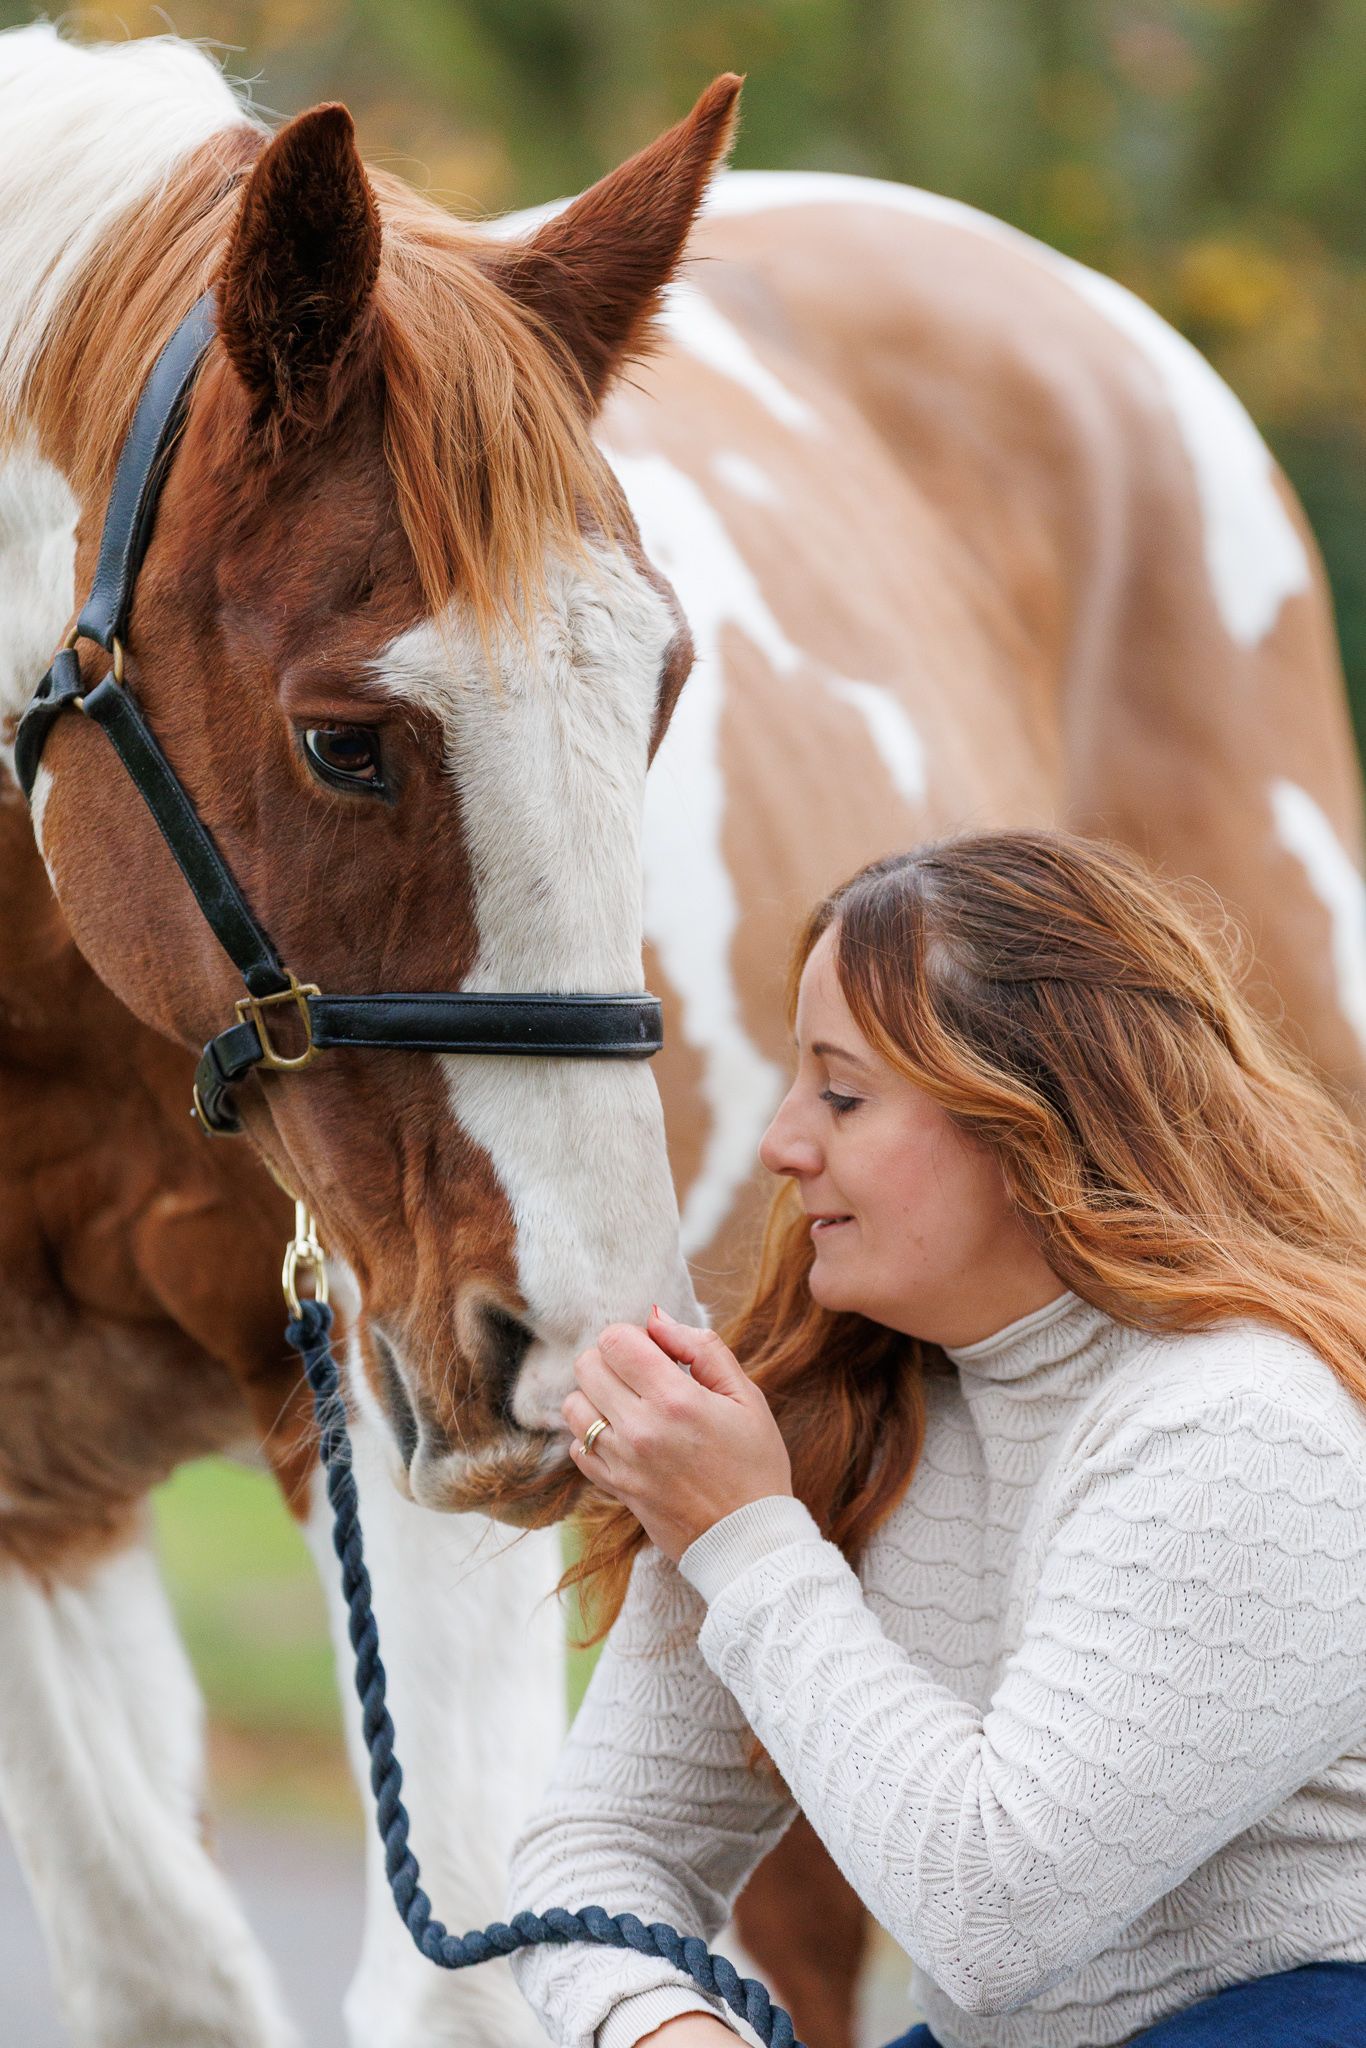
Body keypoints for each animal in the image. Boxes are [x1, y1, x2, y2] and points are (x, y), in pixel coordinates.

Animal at [2, 22, 1362, 2048]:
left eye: (660, 690)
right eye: (342, 739)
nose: (577, 1342)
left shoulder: (410, 1476)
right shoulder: (45, 1497)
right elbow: (164, 1972)